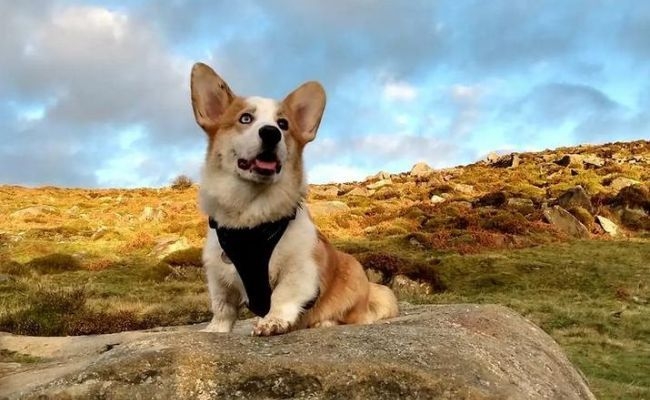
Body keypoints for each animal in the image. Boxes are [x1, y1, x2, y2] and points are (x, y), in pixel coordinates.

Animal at [190, 63, 398, 338]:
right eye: (245, 118)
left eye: (283, 124)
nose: (271, 133)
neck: (251, 218)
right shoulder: (218, 275)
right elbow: (223, 306)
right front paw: (216, 329)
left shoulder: (300, 270)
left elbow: (282, 297)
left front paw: (272, 322)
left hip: (353, 275)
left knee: (352, 318)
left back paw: (325, 322)